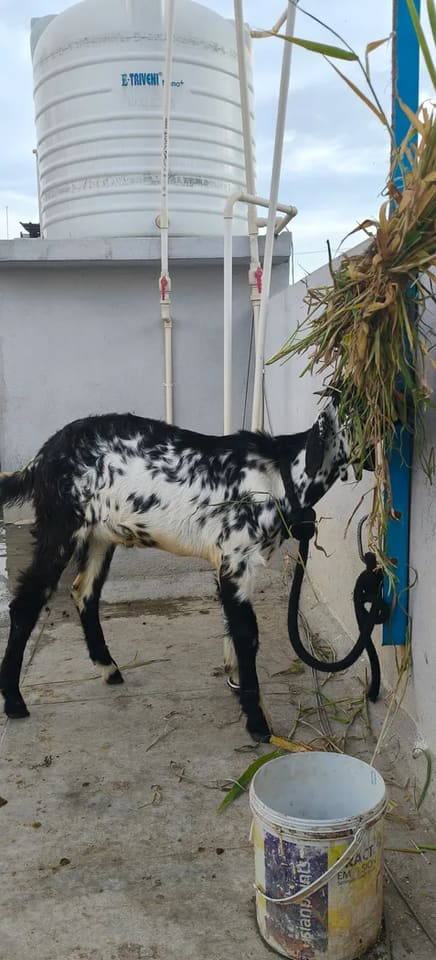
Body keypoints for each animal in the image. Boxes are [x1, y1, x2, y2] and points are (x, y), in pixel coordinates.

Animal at [0, 403, 348, 739]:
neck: (279, 474)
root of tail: (43, 455)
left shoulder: (228, 565)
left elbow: (232, 627)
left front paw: (235, 681)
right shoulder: (237, 560)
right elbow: (247, 633)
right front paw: (258, 723)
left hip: (100, 535)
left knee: (83, 591)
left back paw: (109, 668)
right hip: (59, 526)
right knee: (27, 602)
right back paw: (14, 701)